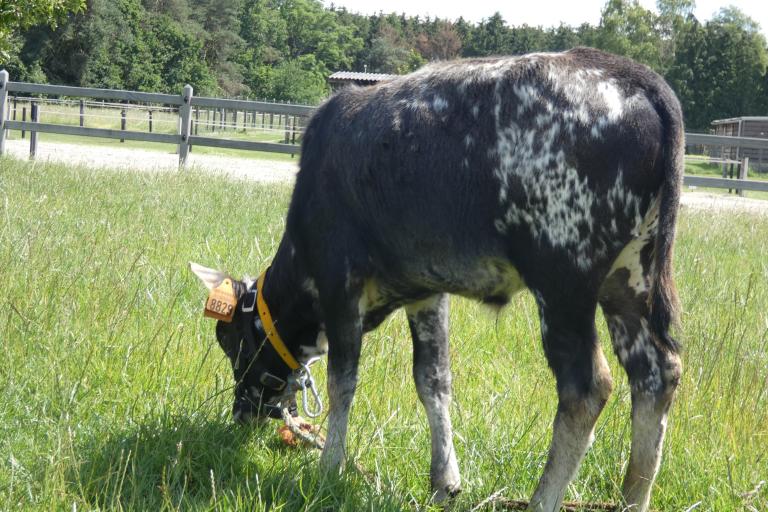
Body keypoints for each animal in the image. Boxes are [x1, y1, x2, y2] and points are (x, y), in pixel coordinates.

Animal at [192, 46, 684, 510]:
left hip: (563, 279)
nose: (243, 412)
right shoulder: (426, 292)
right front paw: (444, 480)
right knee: (656, 374)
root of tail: (632, 75)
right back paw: (631, 498)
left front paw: (329, 467)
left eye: (230, 339)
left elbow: (342, 381)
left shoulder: (339, 281)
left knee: (586, 389)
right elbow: (433, 380)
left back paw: (542, 500)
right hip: (628, 279)